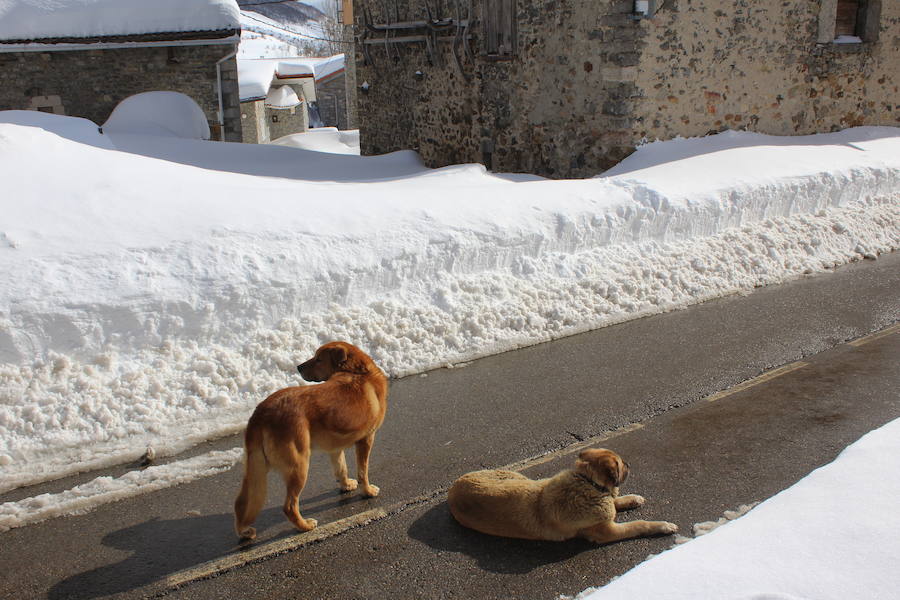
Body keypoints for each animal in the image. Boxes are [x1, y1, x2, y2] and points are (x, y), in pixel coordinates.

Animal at [232, 340, 386, 540]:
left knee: (240, 503)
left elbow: (341, 469)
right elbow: (363, 472)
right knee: (289, 506)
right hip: (299, 465)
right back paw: (304, 526)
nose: (298, 367)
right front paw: (367, 491)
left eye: (318, 359)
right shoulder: (366, 440)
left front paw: (346, 486)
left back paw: (244, 531)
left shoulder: (335, 448)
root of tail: (260, 413)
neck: (357, 372)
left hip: (254, 470)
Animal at [446, 450, 680, 544]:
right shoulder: (605, 532)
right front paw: (663, 525)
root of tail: (453, 488)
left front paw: (631, 499)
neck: (587, 482)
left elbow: (615, 502)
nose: (629, 464)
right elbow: (638, 524)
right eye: (622, 464)